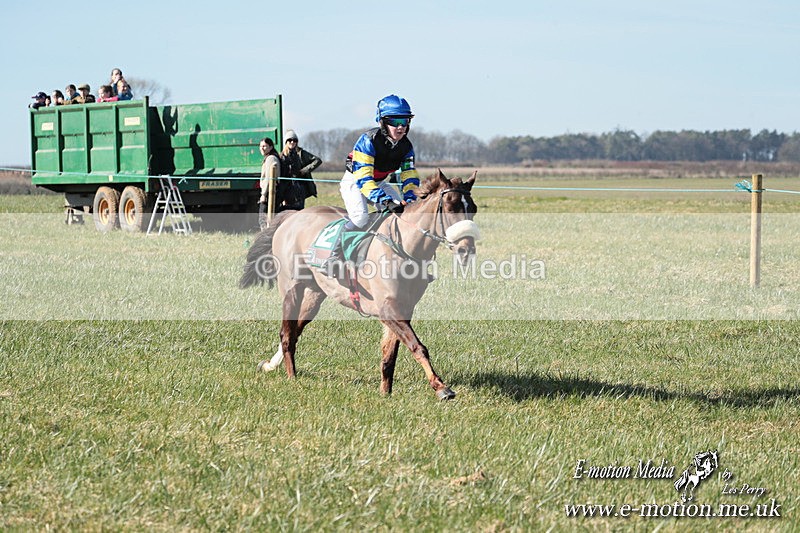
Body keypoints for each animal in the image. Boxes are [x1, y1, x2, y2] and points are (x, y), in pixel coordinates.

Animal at [240, 169, 479, 400]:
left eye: (473, 209)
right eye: (450, 206)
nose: (466, 249)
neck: (404, 247)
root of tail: (292, 216)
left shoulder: (402, 308)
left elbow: (389, 354)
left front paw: (385, 392)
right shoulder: (388, 308)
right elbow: (417, 346)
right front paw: (441, 387)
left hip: (315, 293)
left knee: (296, 329)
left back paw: (271, 365)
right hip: (291, 289)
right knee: (287, 333)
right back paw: (291, 377)